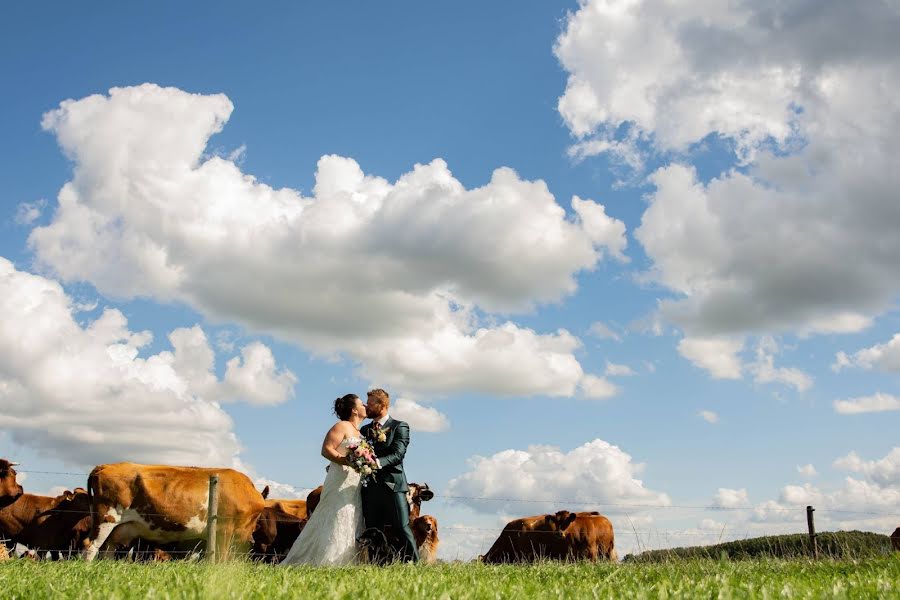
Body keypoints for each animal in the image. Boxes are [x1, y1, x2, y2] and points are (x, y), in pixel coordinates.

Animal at [81, 462, 266, 560]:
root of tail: (105, 466)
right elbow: (221, 557)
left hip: (118, 528)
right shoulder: (224, 529)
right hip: (106, 518)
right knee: (90, 545)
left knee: (107, 550)